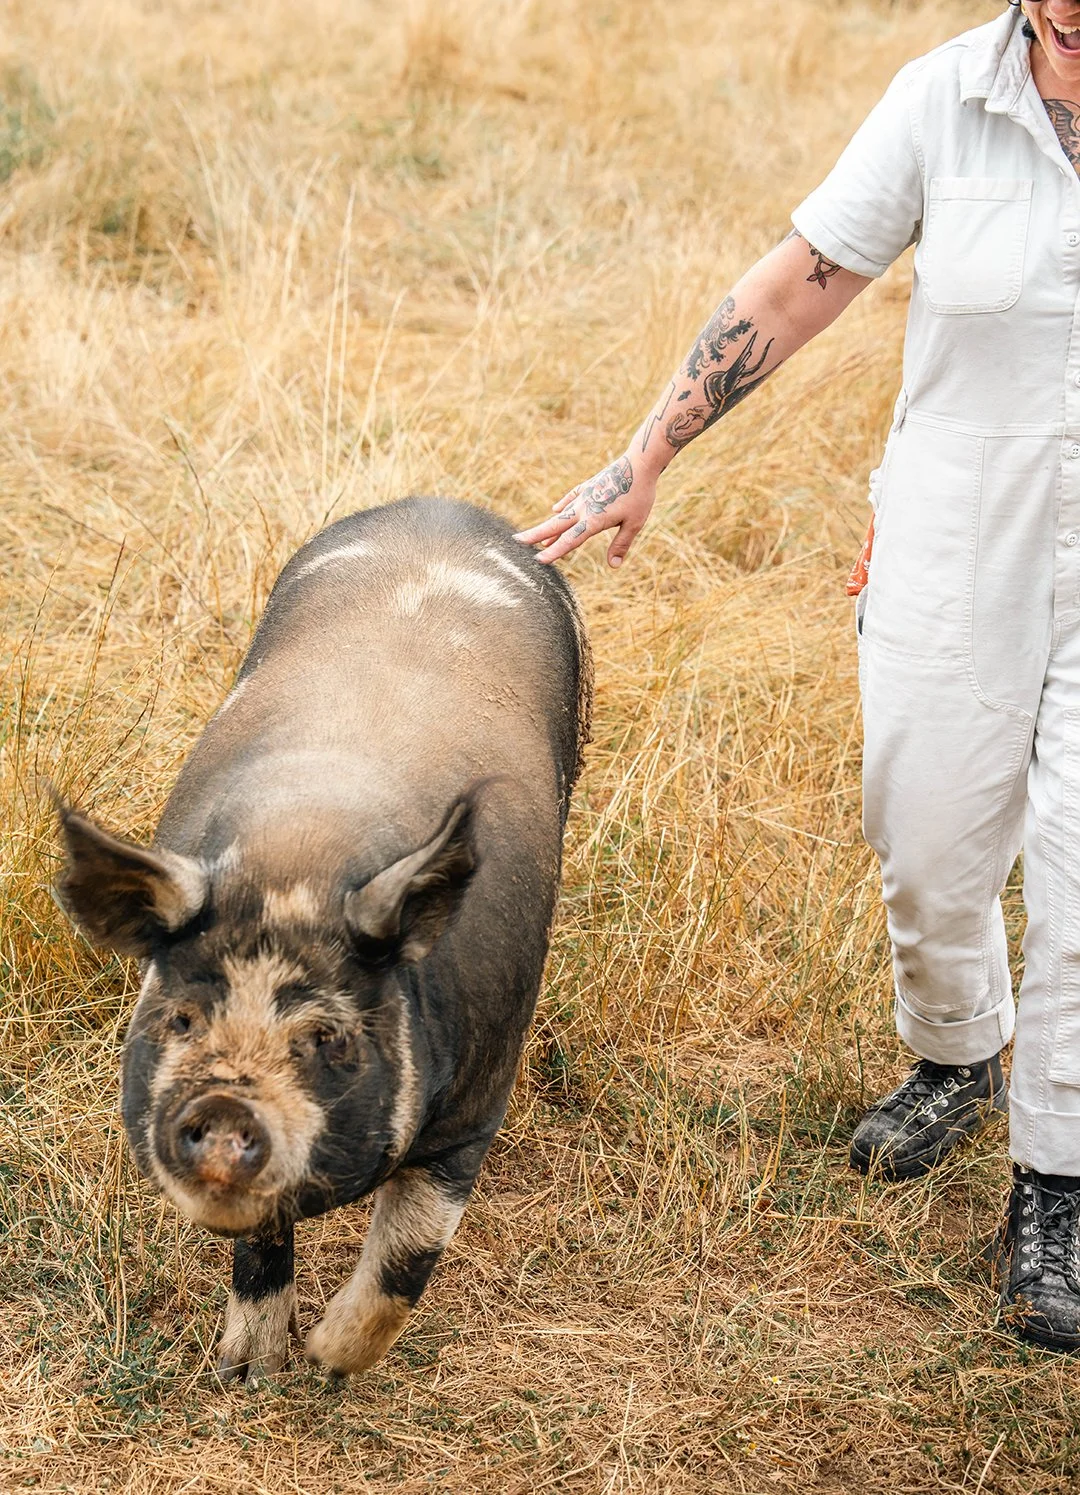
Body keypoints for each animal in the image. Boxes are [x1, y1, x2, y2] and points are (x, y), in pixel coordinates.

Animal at [55, 497, 591, 1383]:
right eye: (182, 1018)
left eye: (327, 1035)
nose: (226, 1102)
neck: (298, 865)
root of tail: (445, 505)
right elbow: (264, 1236)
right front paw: (250, 1372)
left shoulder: (477, 1103)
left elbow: (406, 1259)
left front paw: (329, 1364)